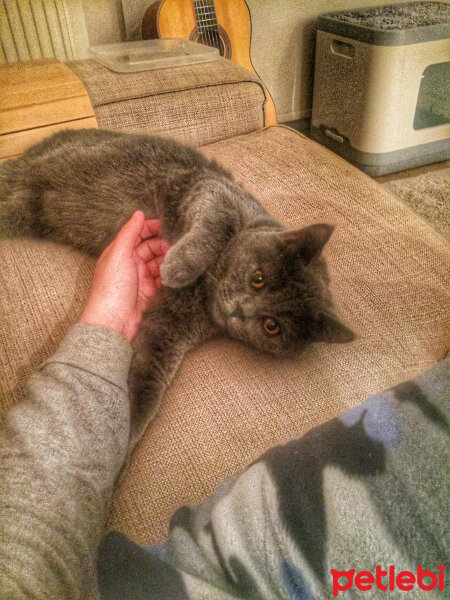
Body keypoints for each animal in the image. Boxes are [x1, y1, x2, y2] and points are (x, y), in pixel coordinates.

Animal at [0, 129, 356, 448]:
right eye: (258, 278)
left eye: (272, 326)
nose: (239, 310)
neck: (207, 285)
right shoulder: (209, 189)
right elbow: (220, 219)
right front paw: (178, 266)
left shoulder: (170, 327)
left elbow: (149, 376)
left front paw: (123, 434)